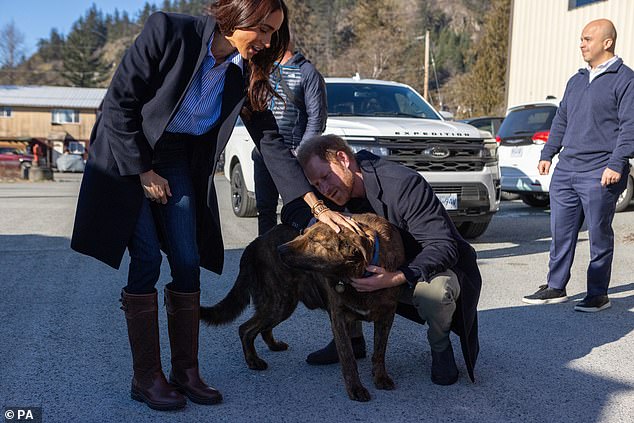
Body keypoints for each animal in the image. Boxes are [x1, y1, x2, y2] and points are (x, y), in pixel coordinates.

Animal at [199, 214, 404, 402]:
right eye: (303, 233)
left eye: (313, 240)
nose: (279, 249)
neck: (357, 272)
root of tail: (254, 243)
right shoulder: (339, 318)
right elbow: (348, 357)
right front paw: (355, 388)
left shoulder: (387, 316)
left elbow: (379, 351)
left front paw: (380, 377)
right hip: (279, 303)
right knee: (245, 329)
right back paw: (253, 361)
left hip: (282, 304)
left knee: (260, 328)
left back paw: (273, 345)